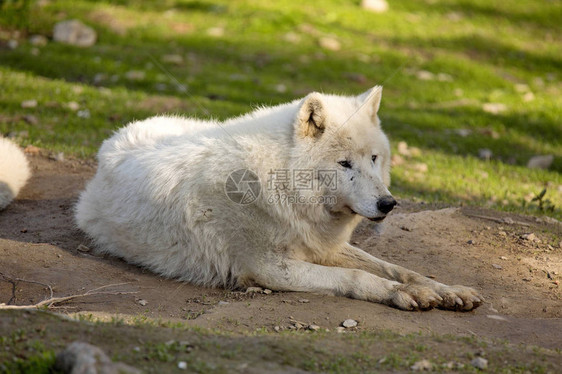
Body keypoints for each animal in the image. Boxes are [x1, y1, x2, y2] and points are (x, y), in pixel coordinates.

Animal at [75, 87, 482, 310]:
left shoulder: (322, 246)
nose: (388, 205)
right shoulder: (269, 267)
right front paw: (403, 295)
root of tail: (117, 135)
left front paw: (447, 290)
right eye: (344, 163)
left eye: (374, 159)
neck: (279, 186)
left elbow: (400, 269)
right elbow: (357, 276)